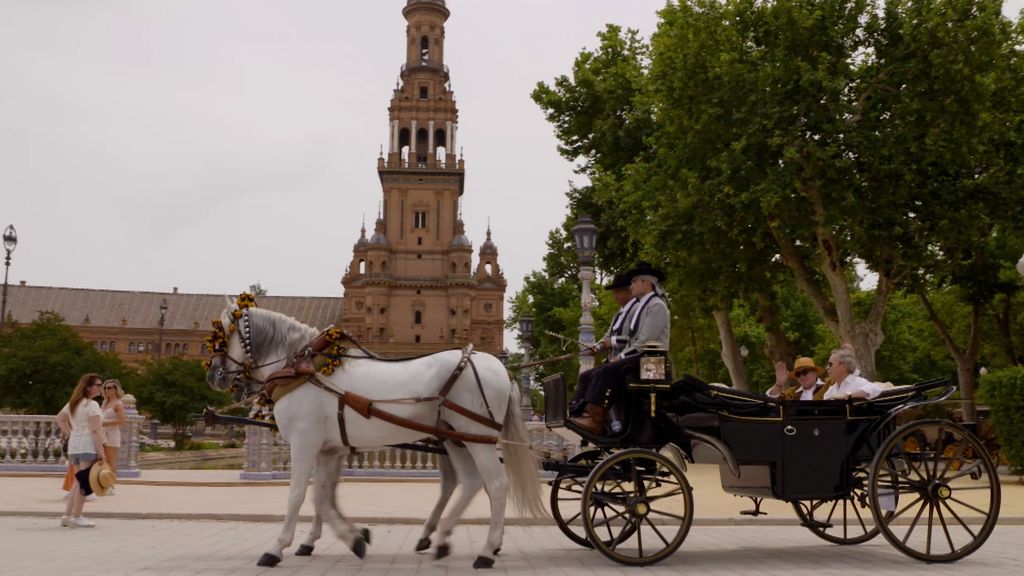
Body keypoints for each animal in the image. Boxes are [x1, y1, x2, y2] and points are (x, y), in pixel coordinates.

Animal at [202, 301, 548, 565]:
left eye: (222, 335)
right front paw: (350, 537)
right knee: (470, 482)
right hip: (456, 438)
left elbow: (298, 494)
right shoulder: (328, 449)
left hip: (477, 437)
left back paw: (487, 550)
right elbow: (322, 497)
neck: (304, 369)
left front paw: (277, 547)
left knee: (497, 485)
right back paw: (441, 538)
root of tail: (500, 368)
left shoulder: (304, 444)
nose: (214, 375)